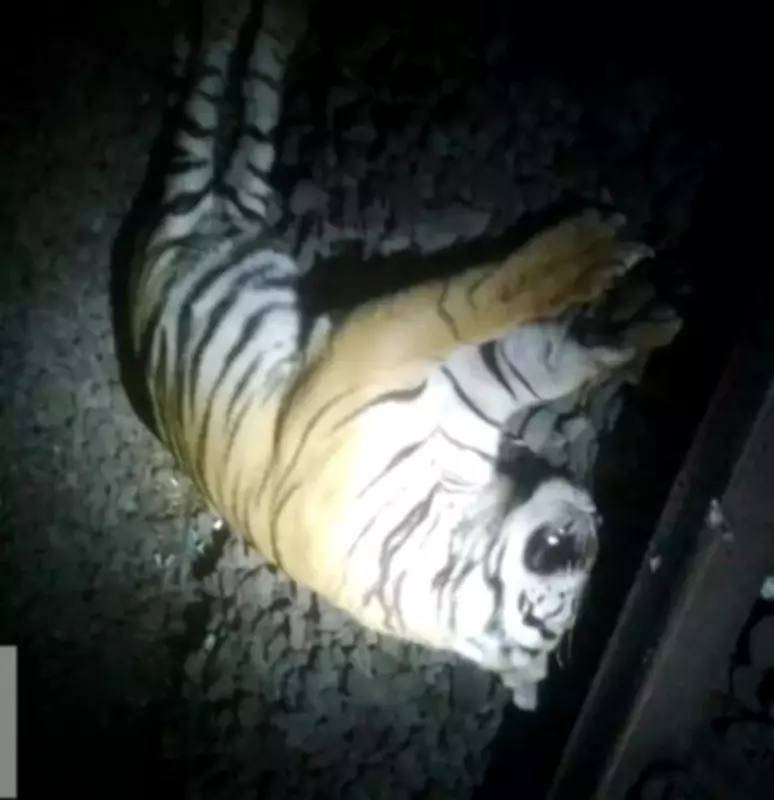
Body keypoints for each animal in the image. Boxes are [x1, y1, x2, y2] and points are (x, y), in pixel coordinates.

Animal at [122, 0, 681, 710]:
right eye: (560, 608)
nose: (591, 521)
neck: (457, 521)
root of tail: (210, 218)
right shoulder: (378, 356)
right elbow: (474, 301)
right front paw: (603, 268)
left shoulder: (456, 387)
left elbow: (535, 359)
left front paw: (635, 329)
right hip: (195, 182)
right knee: (212, 84)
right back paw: (243, 18)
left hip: (246, 176)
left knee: (253, 101)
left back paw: (282, 21)